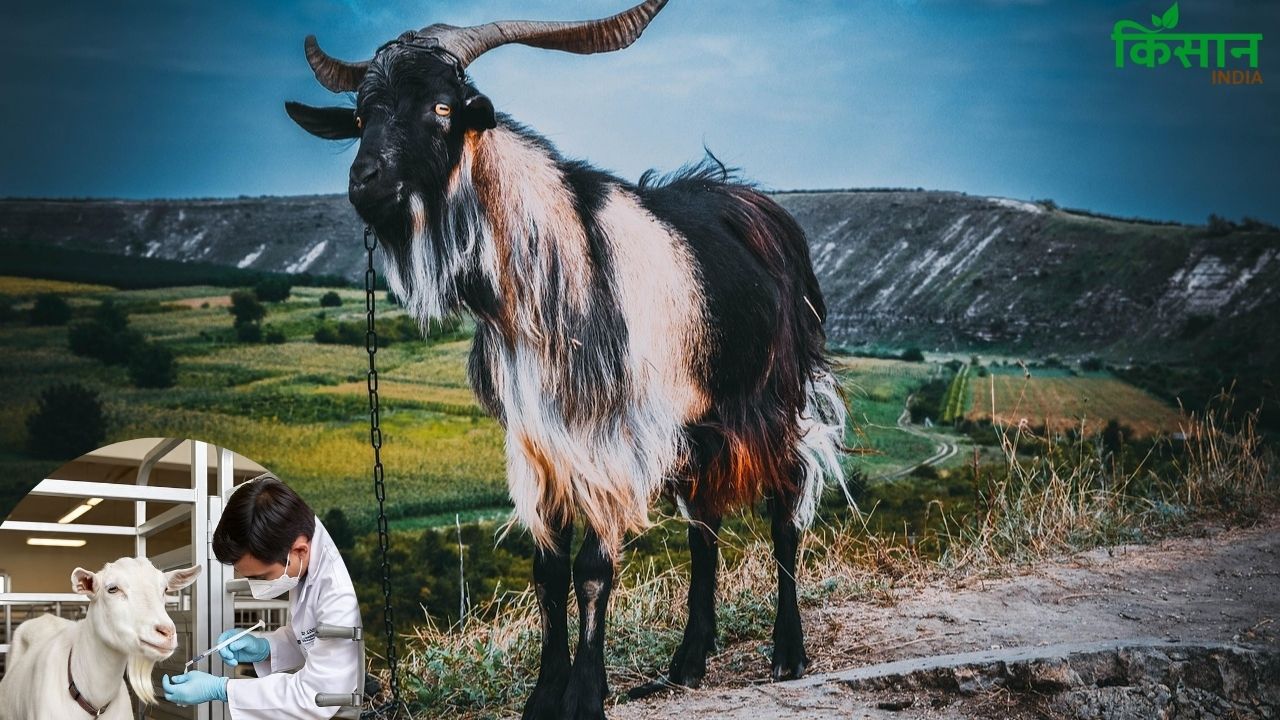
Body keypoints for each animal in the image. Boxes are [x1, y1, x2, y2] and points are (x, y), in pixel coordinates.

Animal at [285, 1, 848, 717]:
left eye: (442, 107)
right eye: (361, 115)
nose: (367, 182)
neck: (550, 265)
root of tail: (767, 212)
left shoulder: (615, 437)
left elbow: (592, 570)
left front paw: (584, 695)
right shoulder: (538, 440)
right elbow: (548, 570)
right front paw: (544, 695)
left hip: (773, 398)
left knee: (784, 508)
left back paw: (787, 652)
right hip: (699, 426)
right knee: (705, 525)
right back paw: (687, 663)